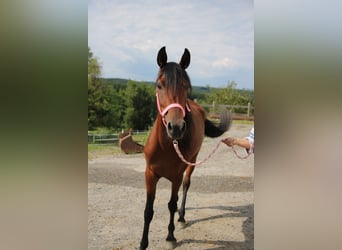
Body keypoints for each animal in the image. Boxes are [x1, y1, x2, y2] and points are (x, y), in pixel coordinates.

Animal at [140, 46, 231, 248]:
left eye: (186, 86)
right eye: (159, 85)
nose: (175, 127)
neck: (166, 146)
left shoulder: (176, 177)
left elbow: (171, 204)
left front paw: (170, 236)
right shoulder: (150, 174)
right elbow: (148, 211)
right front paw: (143, 243)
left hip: (192, 162)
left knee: (186, 186)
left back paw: (181, 217)